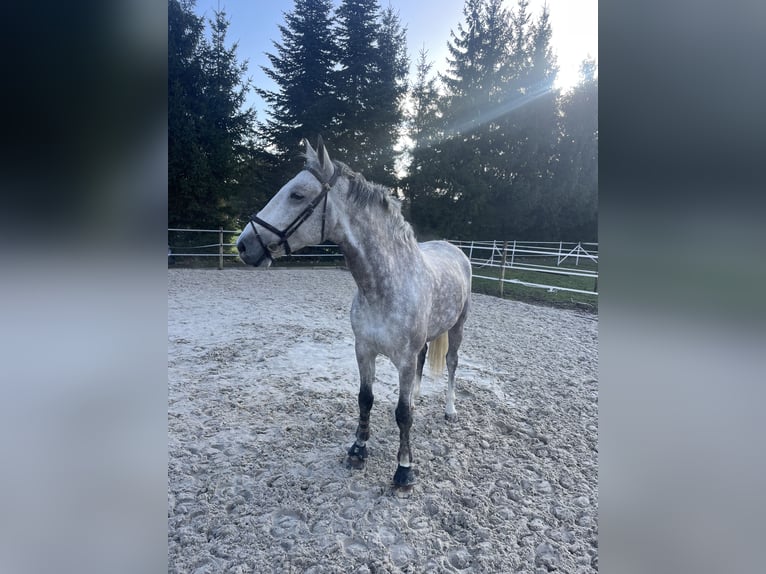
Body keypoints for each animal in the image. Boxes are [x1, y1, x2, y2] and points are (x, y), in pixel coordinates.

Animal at [236, 137, 472, 489]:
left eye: (297, 195)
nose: (243, 245)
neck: (384, 287)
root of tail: (454, 248)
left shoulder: (402, 359)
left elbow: (402, 414)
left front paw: (404, 469)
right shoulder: (364, 350)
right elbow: (366, 399)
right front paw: (358, 450)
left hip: (457, 327)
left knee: (453, 364)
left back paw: (450, 409)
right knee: (422, 366)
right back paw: (418, 398)